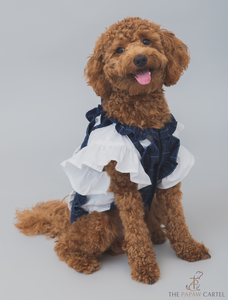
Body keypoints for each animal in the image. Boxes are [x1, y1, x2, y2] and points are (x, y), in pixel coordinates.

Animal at [14, 17, 210, 284]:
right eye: (119, 50)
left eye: (146, 41)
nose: (140, 59)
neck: (145, 124)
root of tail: (66, 222)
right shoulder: (125, 184)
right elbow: (136, 231)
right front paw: (144, 267)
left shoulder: (169, 174)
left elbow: (177, 219)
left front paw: (189, 249)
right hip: (98, 223)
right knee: (65, 245)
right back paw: (84, 261)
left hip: (151, 205)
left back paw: (156, 235)